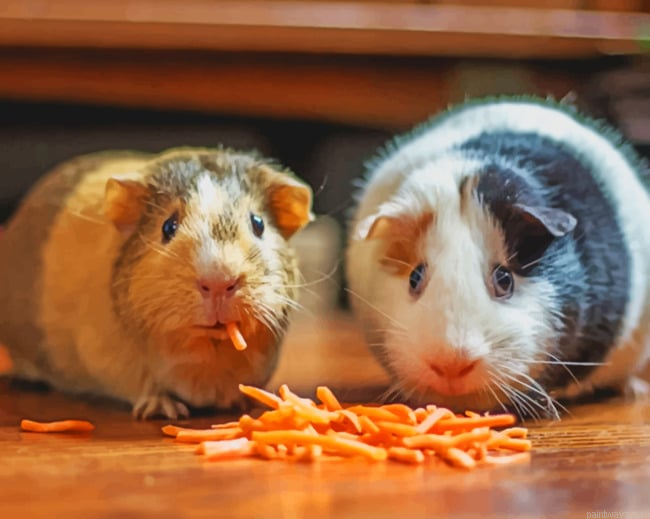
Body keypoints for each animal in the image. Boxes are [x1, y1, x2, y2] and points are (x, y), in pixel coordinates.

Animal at [0, 147, 313, 419]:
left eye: (258, 223)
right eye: (168, 227)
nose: (219, 280)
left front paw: (239, 403)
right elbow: (149, 388)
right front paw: (165, 411)